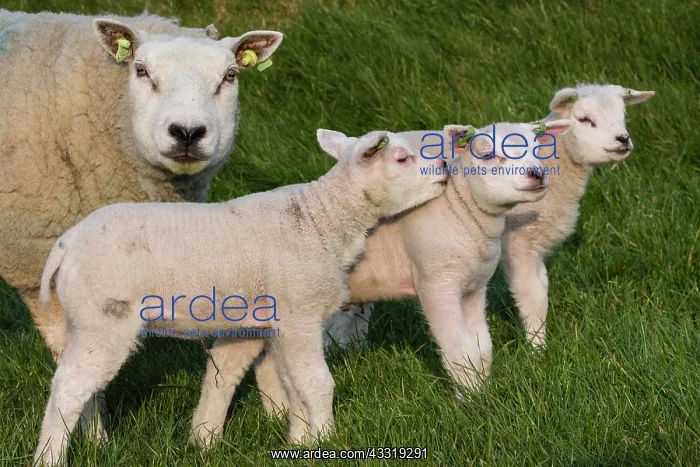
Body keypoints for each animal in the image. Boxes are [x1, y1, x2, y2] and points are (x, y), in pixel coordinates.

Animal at [33, 128, 447, 466]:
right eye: (401, 158)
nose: (444, 167)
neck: (325, 219)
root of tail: (67, 243)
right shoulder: (300, 313)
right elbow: (317, 383)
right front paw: (328, 440)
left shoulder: (272, 321)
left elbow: (291, 385)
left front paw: (299, 444)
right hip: (104, 316)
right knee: (69, 387)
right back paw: (50, 457)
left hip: (87, 319)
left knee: (81, 385)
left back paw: (93, 443)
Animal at [193, 120, 574, 441]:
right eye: (487, 153)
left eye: (538, 150)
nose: (537, 174)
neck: (463, 212)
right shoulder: (437, 283)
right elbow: (459, 350)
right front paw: (469, 404)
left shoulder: (473, 289)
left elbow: (482, 349)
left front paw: (480, 393)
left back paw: (271, 417)